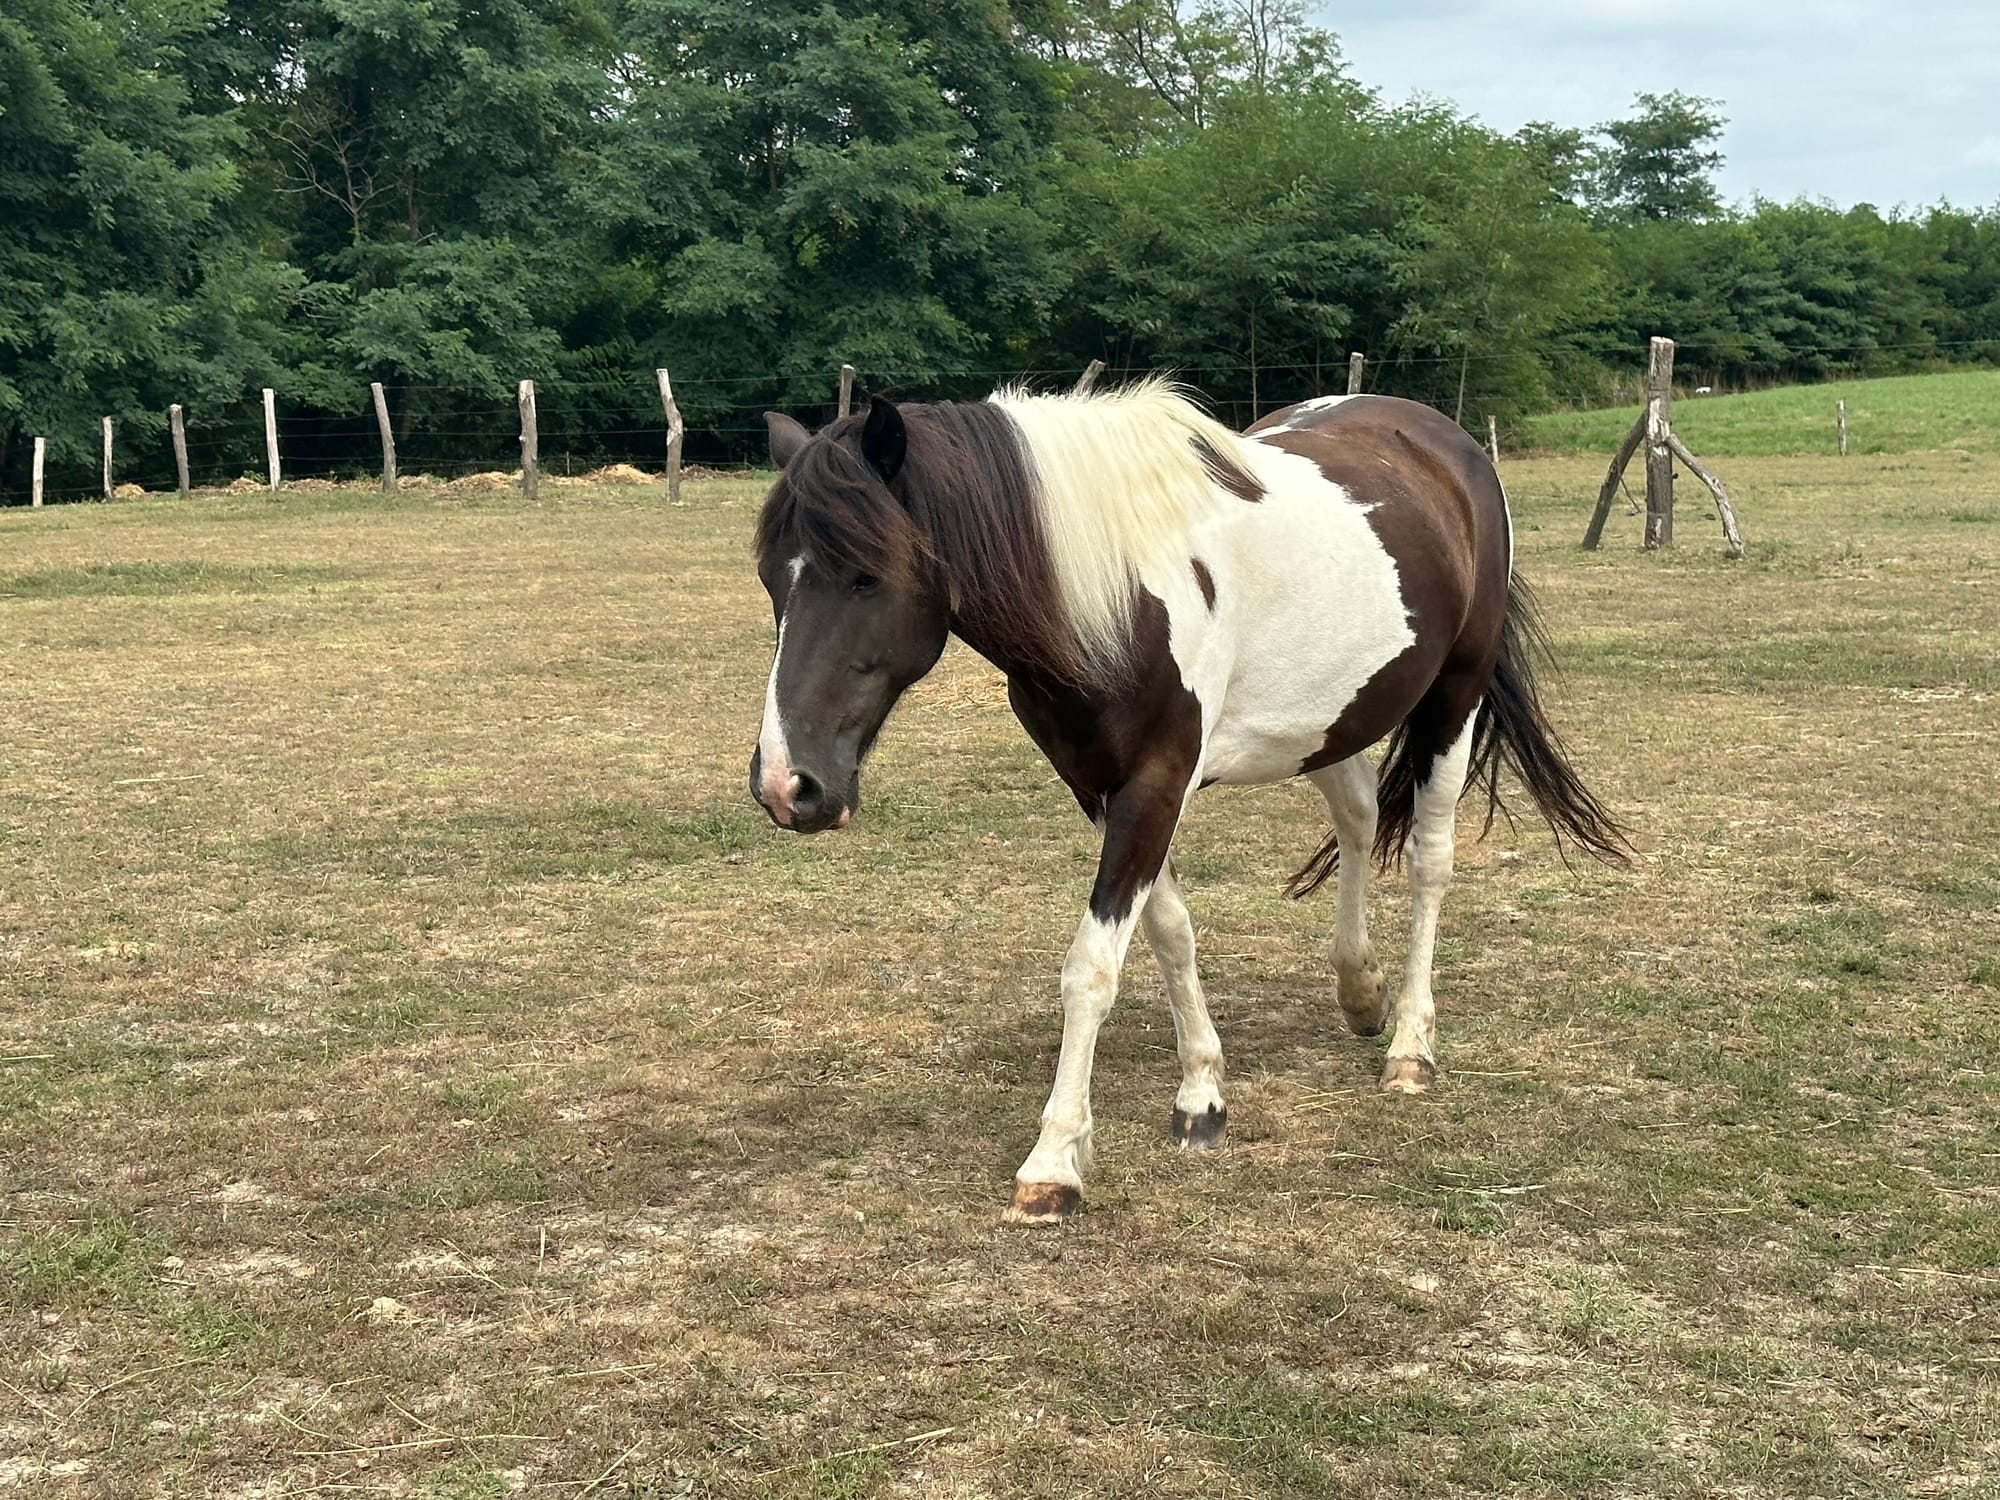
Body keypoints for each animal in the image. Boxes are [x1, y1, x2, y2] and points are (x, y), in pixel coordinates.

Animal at [748, 382, 1624, 1224]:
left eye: (867, 575)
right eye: (769, 580)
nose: (787, 786)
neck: (1111, 594)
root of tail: (1443, 441)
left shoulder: (1155, 783)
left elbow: (1092, 968)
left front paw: (1054, 1162)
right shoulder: (1102, 788)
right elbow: (1169, 933)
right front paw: (1202, 1093)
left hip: (1453, 697)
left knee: (1428, 862)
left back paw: (1410, 1045)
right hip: (1328, 718)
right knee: (1358, 817)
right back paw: (1359, 989)